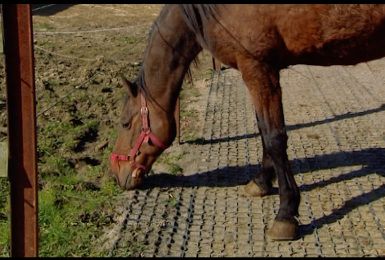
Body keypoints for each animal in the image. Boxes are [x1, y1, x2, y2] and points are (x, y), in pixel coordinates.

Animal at [107, 4, 384, 241]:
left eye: (125, 123)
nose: (117, 173)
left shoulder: (257, 68)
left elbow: (274, 138)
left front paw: (285, 214)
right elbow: (263, 131)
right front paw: (261, 182)